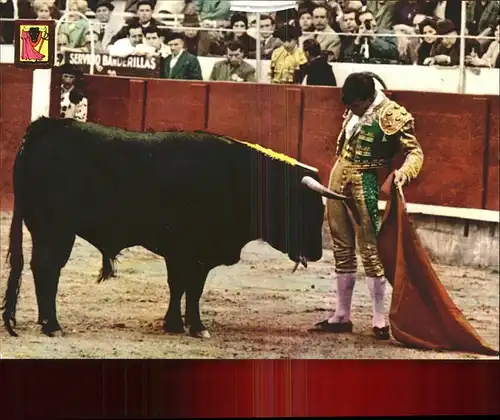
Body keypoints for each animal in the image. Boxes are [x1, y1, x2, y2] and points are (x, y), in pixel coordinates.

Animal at [0, 117, 344, 338]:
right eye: (306, 208)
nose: (316, 253)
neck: (240, 179)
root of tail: (44, 126)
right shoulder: (196, 252)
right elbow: (193, 288)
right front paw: (196, 327)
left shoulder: (180, 253)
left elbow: (178, 286)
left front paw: (174, 324)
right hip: (56, 229)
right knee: (47, 268)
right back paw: (52, 325)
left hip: (46, 229)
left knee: (40, 267)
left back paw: (47, 322)